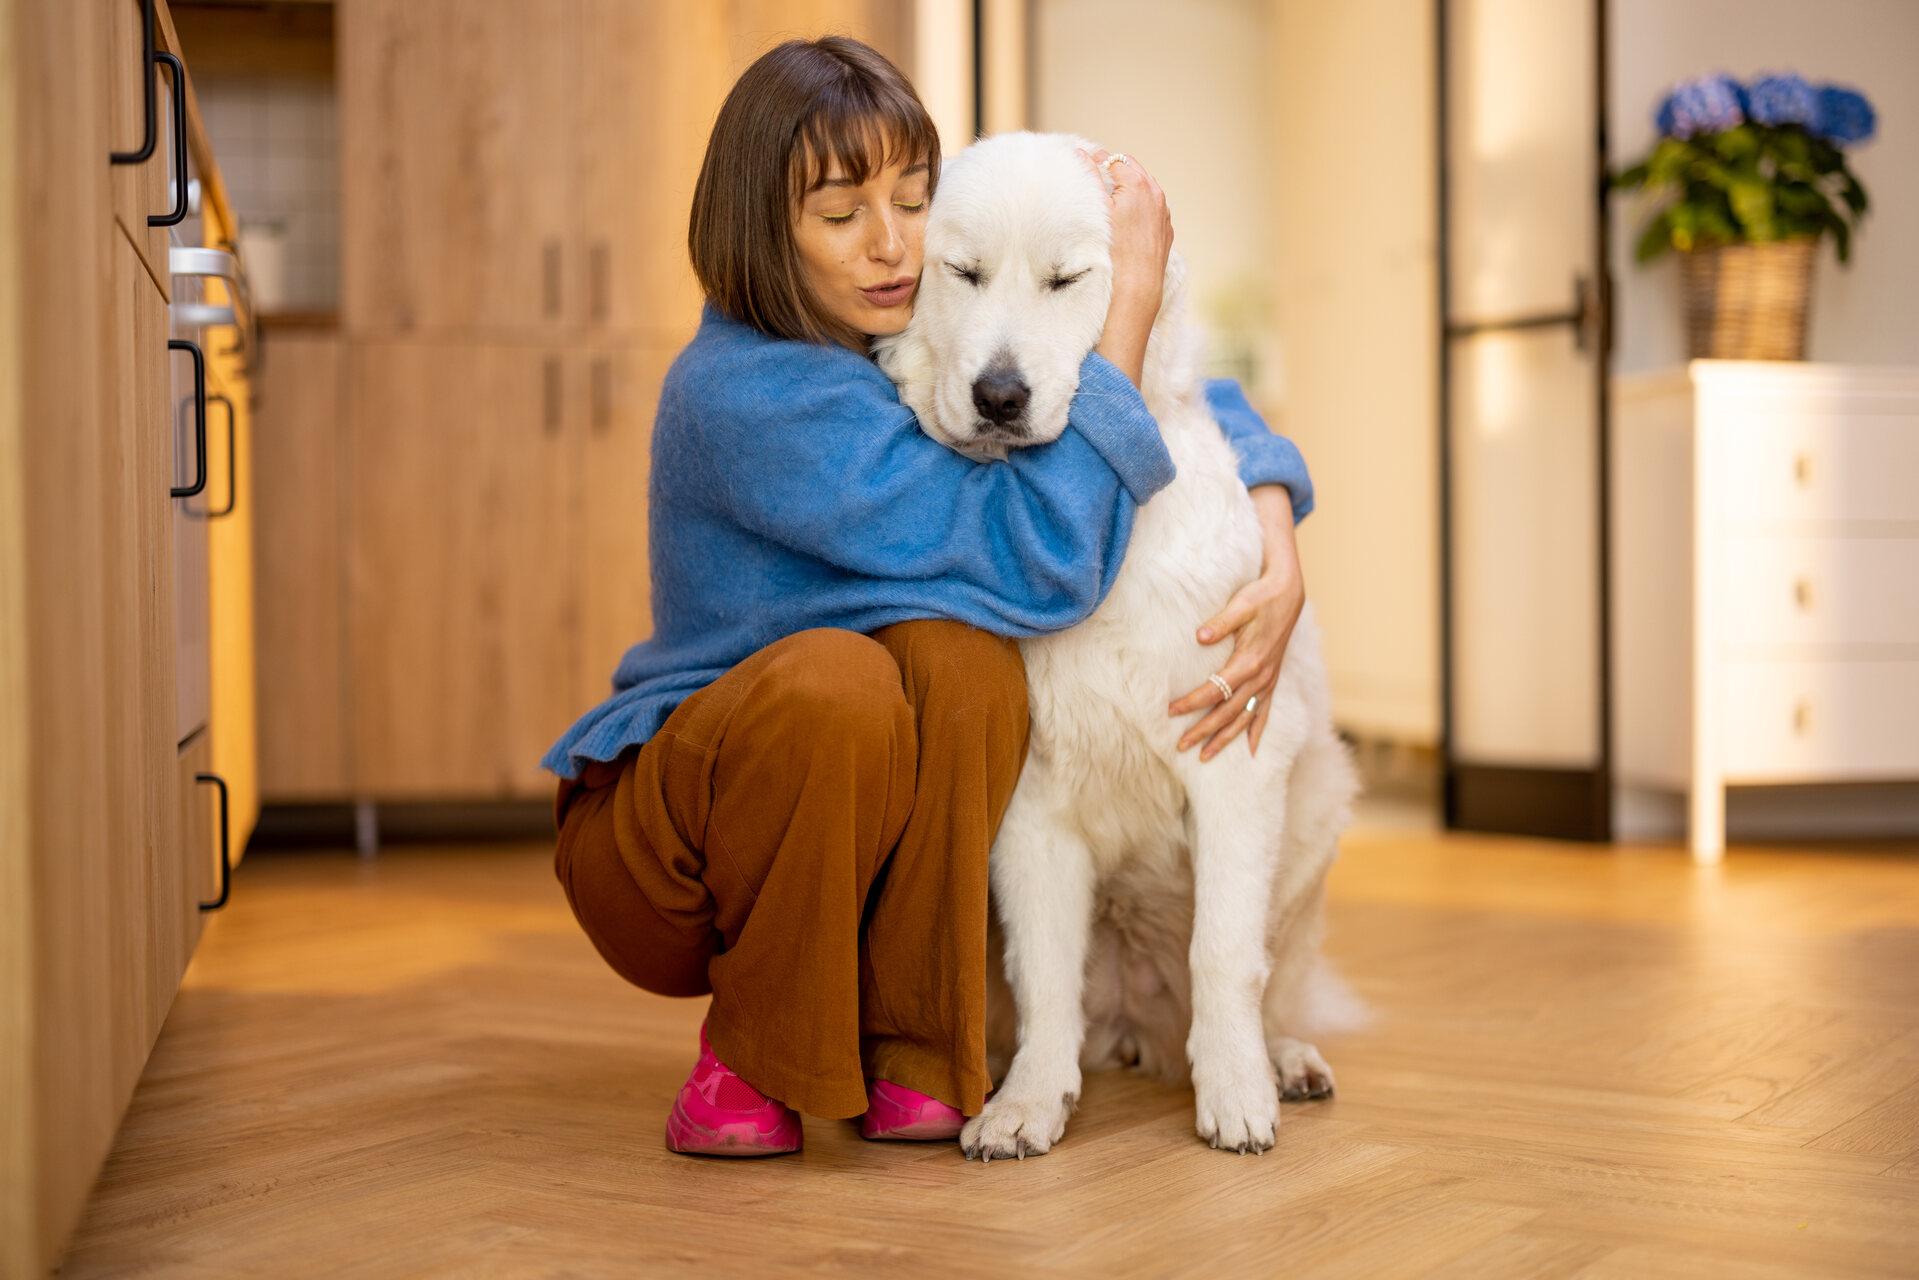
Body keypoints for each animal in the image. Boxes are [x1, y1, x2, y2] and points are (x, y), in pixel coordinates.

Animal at [878, 132, 1358, 1159]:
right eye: (963, 272)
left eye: (1065, 279)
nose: (1000, 396)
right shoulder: (1029, 810)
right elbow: (1044, 978)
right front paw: (1025, 1104)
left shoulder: (1233, 762)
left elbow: (1223, 953)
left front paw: (1235, 1097)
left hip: (1313, 829)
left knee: (1270, 980)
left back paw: (1281, 1062)